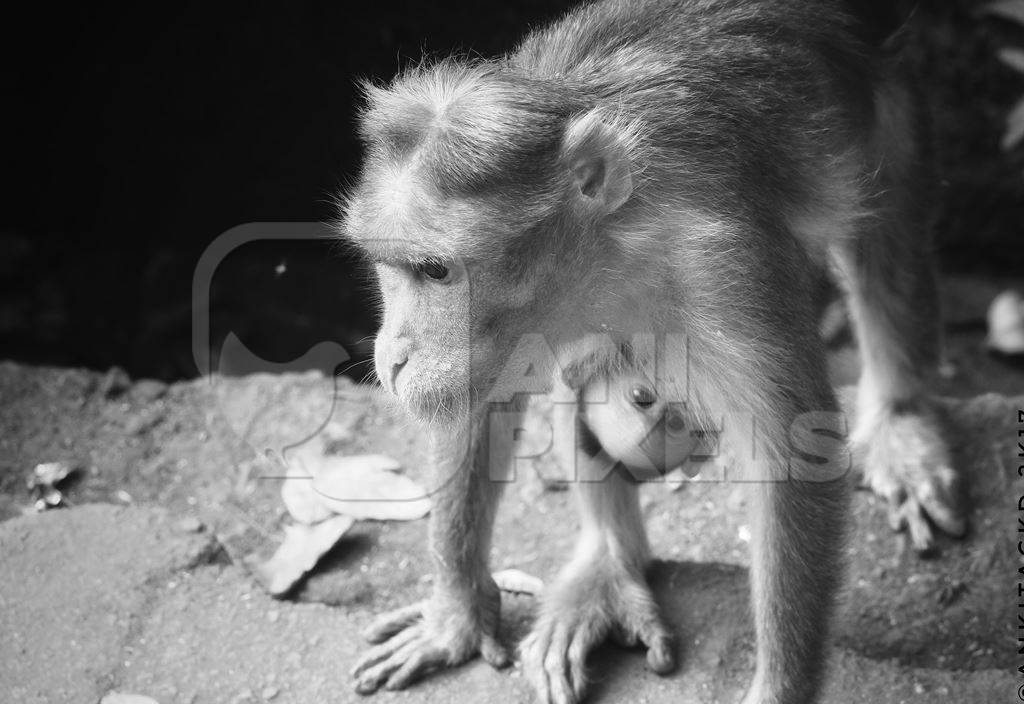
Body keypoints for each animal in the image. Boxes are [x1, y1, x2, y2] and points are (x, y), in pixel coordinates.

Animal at [339, 0, 962, 699]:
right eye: (387, 265)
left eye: (437, 271)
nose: (394, 356)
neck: (611, 238)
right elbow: (479, 398)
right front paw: (457, 616)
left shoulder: (722, 264)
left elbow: (794, 448)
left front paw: (779, 689)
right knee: (585, 379)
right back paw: (610, 564)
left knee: (887, 214)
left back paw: (902, 413)